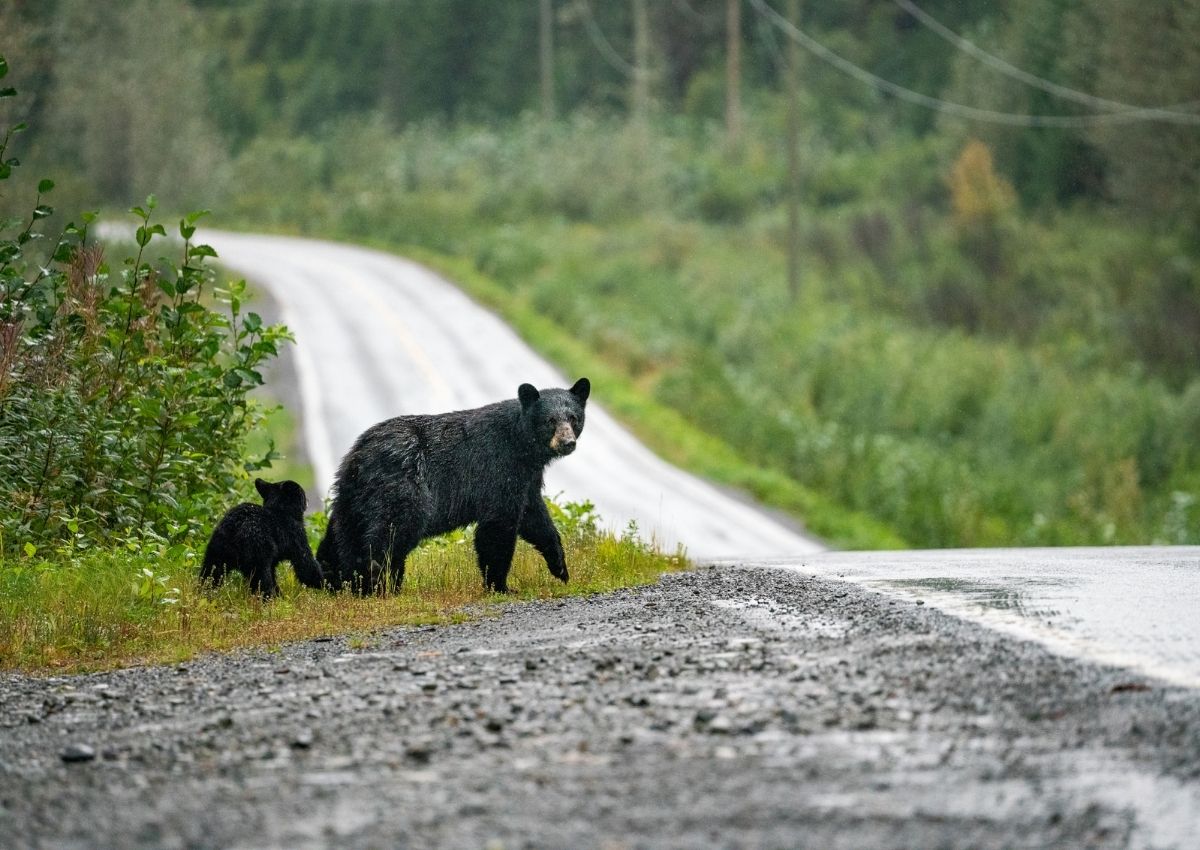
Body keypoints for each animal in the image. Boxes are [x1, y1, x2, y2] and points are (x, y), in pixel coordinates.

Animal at [317, 377, 590, 595]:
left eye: (573, 418)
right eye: (550, 420)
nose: (568, 442)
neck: (522, 446)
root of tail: (358, 453)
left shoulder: (526, 478)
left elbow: (535, 517)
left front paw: (560, 567)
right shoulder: (499, 469)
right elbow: (497, 525)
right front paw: (500, 586)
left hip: (352, 496)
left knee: (343, 535)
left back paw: (340, 581)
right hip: (402, 487)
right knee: (390, 532)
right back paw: (377, 583)